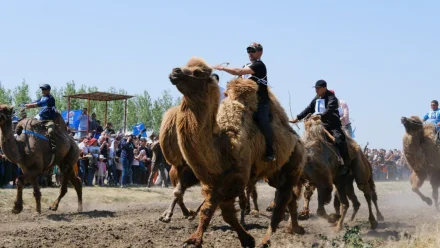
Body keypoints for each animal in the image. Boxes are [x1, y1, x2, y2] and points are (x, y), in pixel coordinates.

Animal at [169, 57, 306, 247]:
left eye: (197, 72)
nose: (175, 71)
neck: (222, 144)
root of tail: (299, 141)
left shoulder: (235, 179)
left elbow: (223, 212)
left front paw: (249, 239)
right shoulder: (214, 182)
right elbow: (212, 212)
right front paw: (194, 239)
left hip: (292, 167)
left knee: (282, 202)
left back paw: (266, 240)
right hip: (274, 174)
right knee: (290, 197)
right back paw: (295, 228)